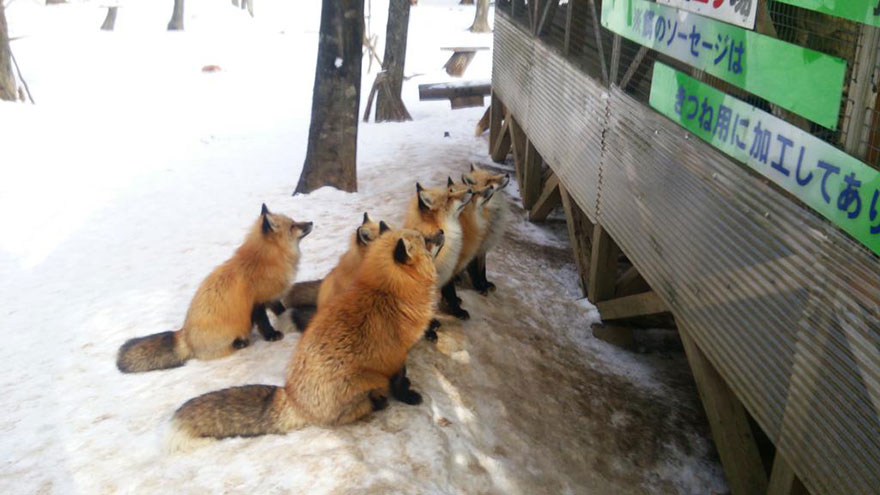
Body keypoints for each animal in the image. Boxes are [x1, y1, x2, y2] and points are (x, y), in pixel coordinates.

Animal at [116, 204, 313, 373]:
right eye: (293, 225)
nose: (311, 222)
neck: (263, 261)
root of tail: (185, 334)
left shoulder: (271, 296)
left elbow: (282, 309)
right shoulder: (256, 303)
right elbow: (264, 323)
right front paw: (272, 335)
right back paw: (240, 343)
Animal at [167, 228, 445, 451]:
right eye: (425, 240)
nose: (441, 231)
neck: (390, 293)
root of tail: (291, 396)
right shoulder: (396, 353)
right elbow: (399, 380)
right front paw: (408, 395)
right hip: (360, 383)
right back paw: (378, 402)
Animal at [404, 179, 473, 323]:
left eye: (451, 190)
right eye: (448, 197)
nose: (470, 190)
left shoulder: (448, 272)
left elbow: (451, 294)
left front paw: (456, 309)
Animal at [462, 164, 510, 294]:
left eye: (492, 174)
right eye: (489, 181)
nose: (507, 174)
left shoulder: (483, 248)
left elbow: (483, 270)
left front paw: (485, 284)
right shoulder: (473, 247)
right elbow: (474, 271)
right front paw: (479, 287)